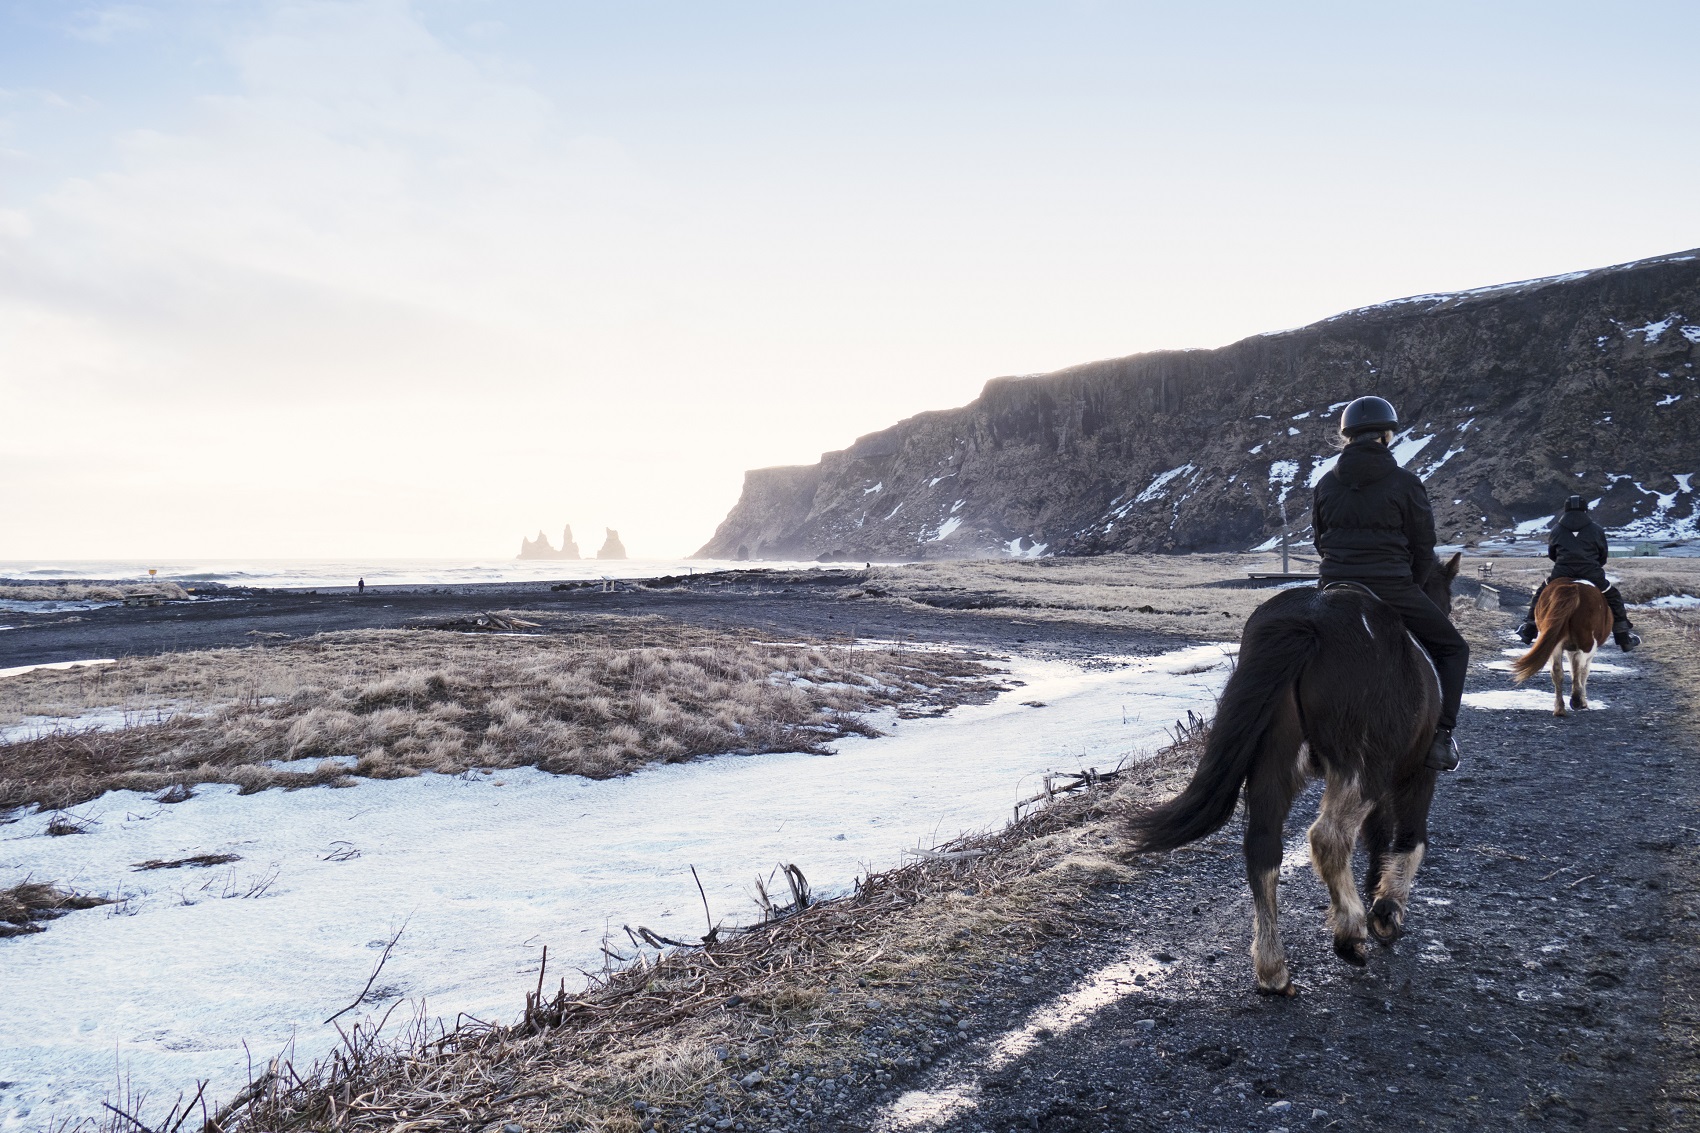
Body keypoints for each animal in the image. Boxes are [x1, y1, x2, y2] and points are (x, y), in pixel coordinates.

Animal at [1128, 551, 1462, 993]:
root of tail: (1311, 620)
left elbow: (1377, 835)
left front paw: (1376, 892)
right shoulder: (1417, 773)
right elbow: (1410, 838)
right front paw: (1386, 911)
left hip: (1274, 761)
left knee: (1263, 847)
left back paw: (1273, 969)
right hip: (1362, 768)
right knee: (1328, 837)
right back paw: (1349, 933)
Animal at [1509, 578, 1611, 711]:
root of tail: (1573, 587)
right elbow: (1584, 671)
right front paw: (1583, 701)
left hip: (1555, 643)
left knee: (1557, 670)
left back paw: (1559, 708)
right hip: (1587, 643)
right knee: (1579, 664)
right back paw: (1576, 700)